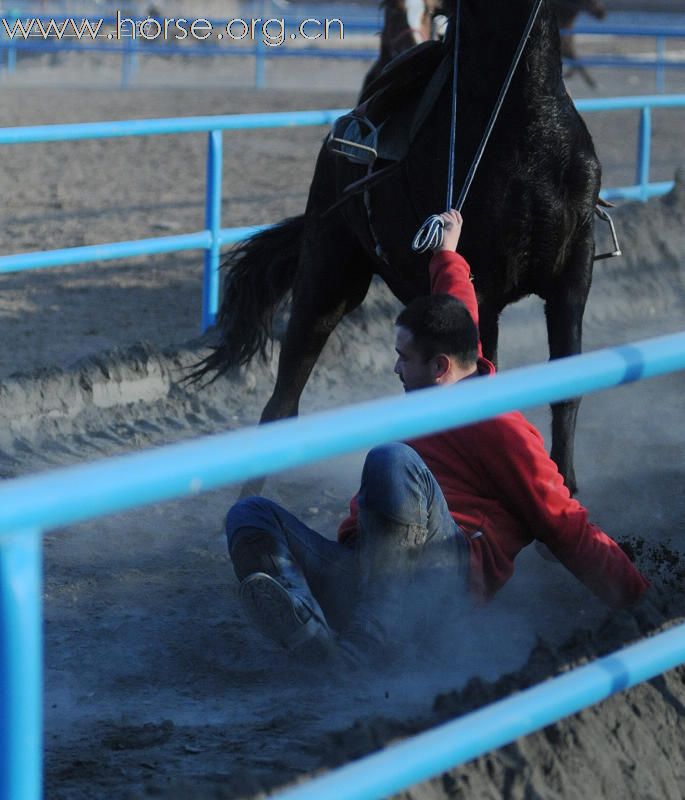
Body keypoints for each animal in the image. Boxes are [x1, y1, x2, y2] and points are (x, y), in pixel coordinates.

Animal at [195, 0, 600, 494]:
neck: (524, 127)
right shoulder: (479, 289)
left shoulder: (572, 275)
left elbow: (566, 384)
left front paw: (565, 485)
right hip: (326, 282)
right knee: (282, 402)